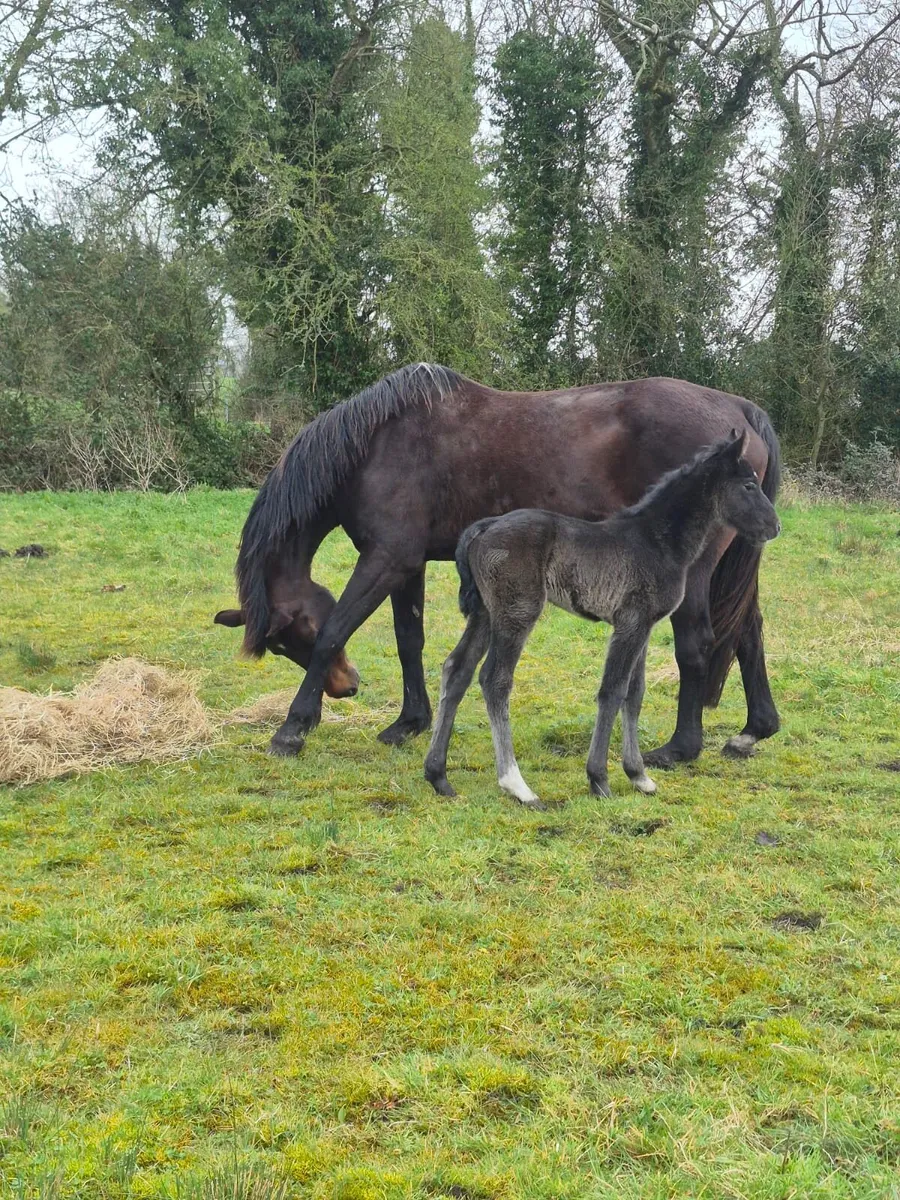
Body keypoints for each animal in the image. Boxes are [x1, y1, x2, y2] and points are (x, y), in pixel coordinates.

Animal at [213, 362, 782, 765]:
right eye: (281, 647)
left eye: (296, 636)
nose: (346, 688)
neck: (377, 445)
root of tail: (737, 408)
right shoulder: (407, 564)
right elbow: (409, 639)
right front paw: (409, 722)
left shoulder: (385, 559)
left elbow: (339, 629)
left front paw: (292, 729)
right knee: (748, 632)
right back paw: (753, 731)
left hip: (696, 571)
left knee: (698, 642)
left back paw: (681, 748)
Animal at [424, 431, 781, 807]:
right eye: (748, 486)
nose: (774, 526)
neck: (657, 540)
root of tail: (484, 527)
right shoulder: (630, 623)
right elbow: (612, 690)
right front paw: (599, 778)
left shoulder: (645, 626)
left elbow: (634, 693)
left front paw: (639, 776)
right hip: (516, 612)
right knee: (495, 679)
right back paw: (517, 784)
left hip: (484, 614)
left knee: (457, 669)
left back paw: (438, 776)